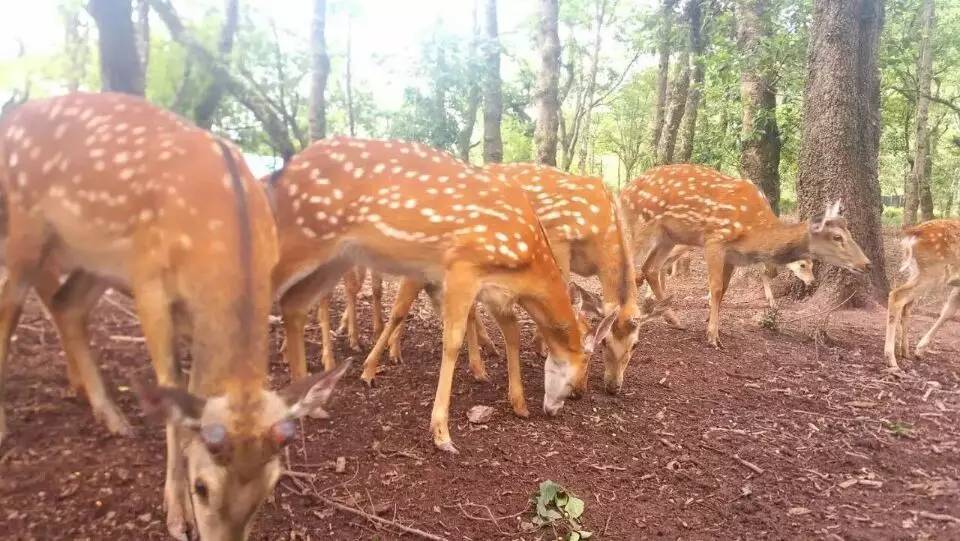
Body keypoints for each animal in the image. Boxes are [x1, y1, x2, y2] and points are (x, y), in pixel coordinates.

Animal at [0, 90, 348, 536]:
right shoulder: (149, 283)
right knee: (11, 305)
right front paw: (176, 514)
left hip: (99, 259)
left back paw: (110, 415)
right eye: (202, 487)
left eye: (270, 486)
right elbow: (171, 388)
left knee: (65, 304)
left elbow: (195, 386)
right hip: (25, 229)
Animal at [268, 136, 608, 452]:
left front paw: (519, 403)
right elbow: (452, 341)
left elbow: (511, 333)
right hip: (299, 241)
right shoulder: (463, 266)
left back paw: (305, 406)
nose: (574, 396)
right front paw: (442, 433)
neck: (526, 260)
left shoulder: (496, 290)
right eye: (581, 369)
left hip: (334, 258)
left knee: (294, 305)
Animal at [620, 163, 872, 346]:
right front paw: (712, 336)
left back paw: (673, 319)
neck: (754, 232)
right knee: (630, 265)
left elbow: (724, 290)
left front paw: (710, 324)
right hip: (641, 225)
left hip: (668, 237)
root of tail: (624, 192)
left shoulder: (733, 256)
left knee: (650, 268)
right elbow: (716, 287)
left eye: (849, 231)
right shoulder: (715, 238)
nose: (867, 264)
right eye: (837, 237)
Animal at [884, 217, 960, 370]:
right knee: (897, 296)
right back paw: (891, 359)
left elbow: (948, 312)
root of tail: (915, 231)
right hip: (933, 271)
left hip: (916, 271)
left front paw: (920, 350)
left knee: (907, 306)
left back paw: (905, 352)